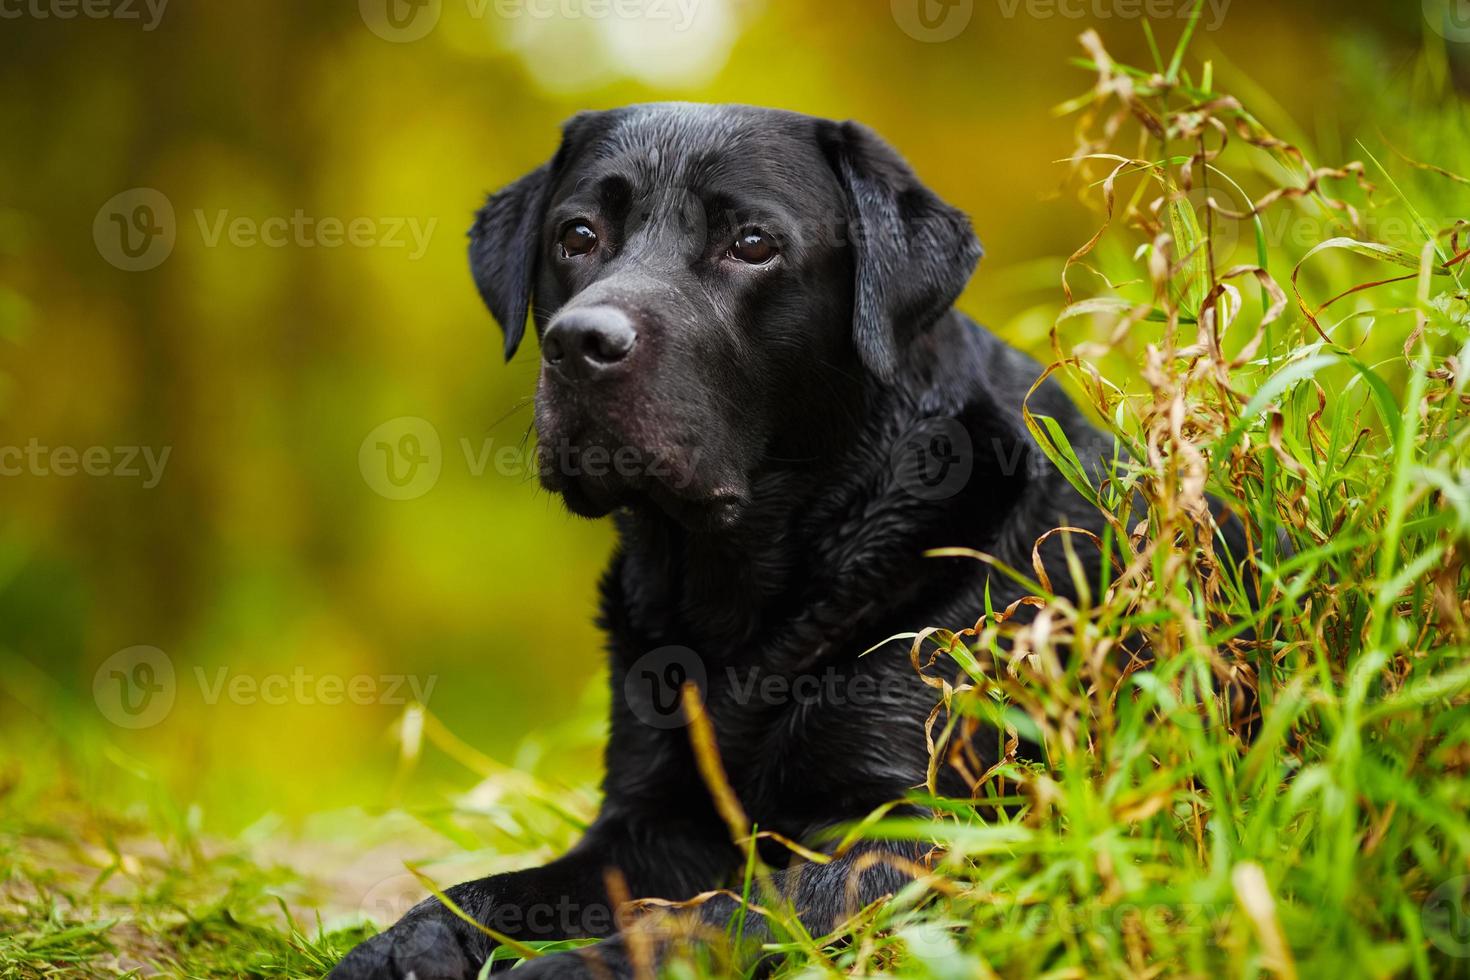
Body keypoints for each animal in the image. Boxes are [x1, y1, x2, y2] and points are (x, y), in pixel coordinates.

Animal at [330, 103, 1111, 975]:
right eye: (576, 235)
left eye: (753, 243)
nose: (580, 342)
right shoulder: (650, 822)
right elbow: (487, 890)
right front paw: (396, 946)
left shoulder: (928, 833)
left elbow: (724, 914)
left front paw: (564, 966)